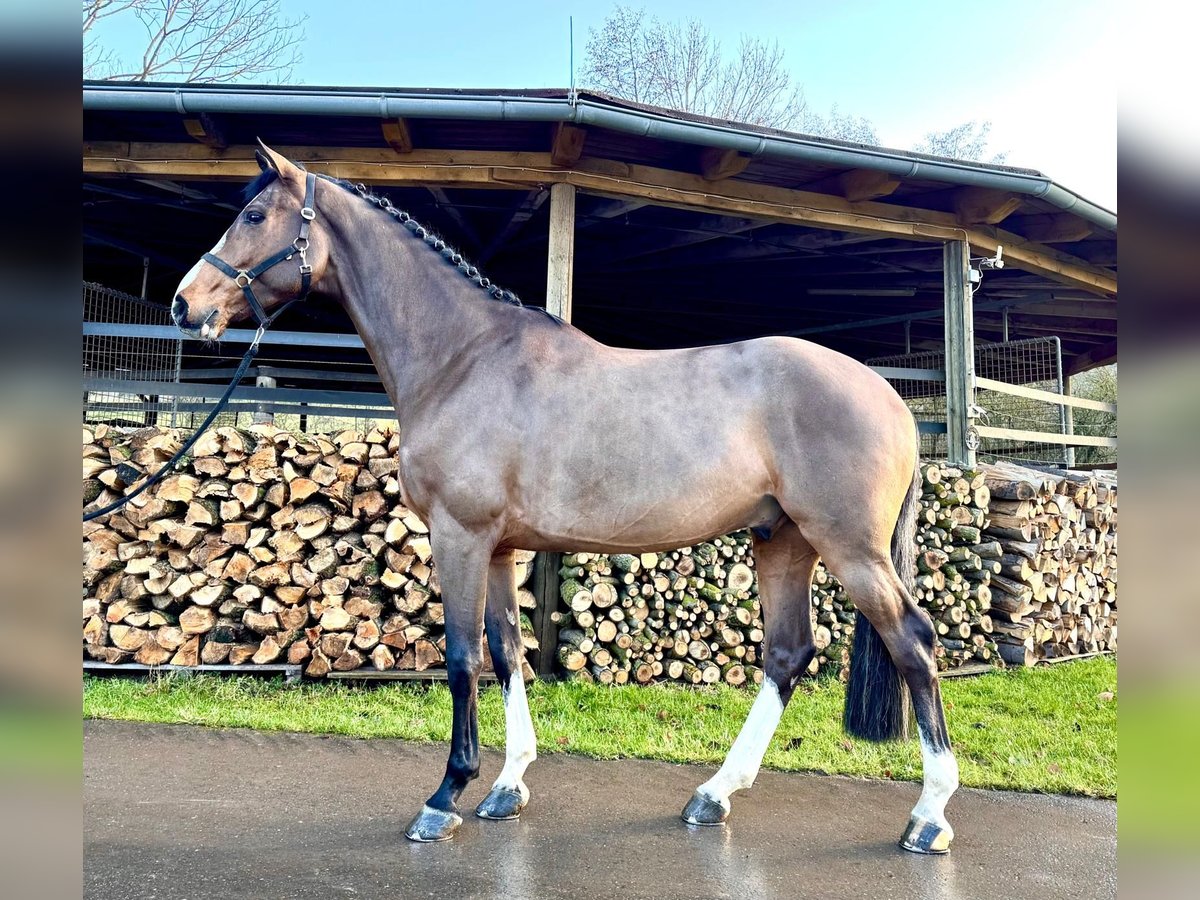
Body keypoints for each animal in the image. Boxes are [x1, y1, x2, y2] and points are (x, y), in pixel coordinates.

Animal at [171, 144, 955, 854]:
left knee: (913, 643)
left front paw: (445, 796)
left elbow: (463, 659)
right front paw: (507, 786)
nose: (185, 303)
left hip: (848, 547)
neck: (464, 359)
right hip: (783, 541)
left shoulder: (459, 536)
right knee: (789, 654)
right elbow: (506, 652)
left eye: (253, 215)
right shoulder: (497, 548)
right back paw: (712, 795)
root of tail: (890, 397)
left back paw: (928, 817)